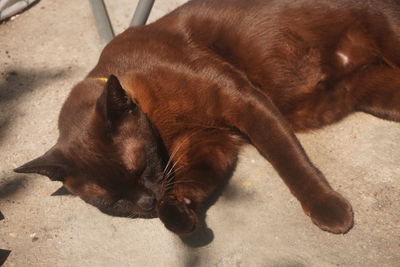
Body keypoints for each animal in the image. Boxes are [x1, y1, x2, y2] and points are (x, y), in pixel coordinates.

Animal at [13, 0, 400, 236]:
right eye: (113, 202)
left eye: (140, 170)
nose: (145, 204)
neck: (165, 128)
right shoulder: (212, 145)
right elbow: (190, 187)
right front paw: (178, 216)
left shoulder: (242, 103)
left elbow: (290, 162)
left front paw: (329, 211)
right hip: (379, 95)